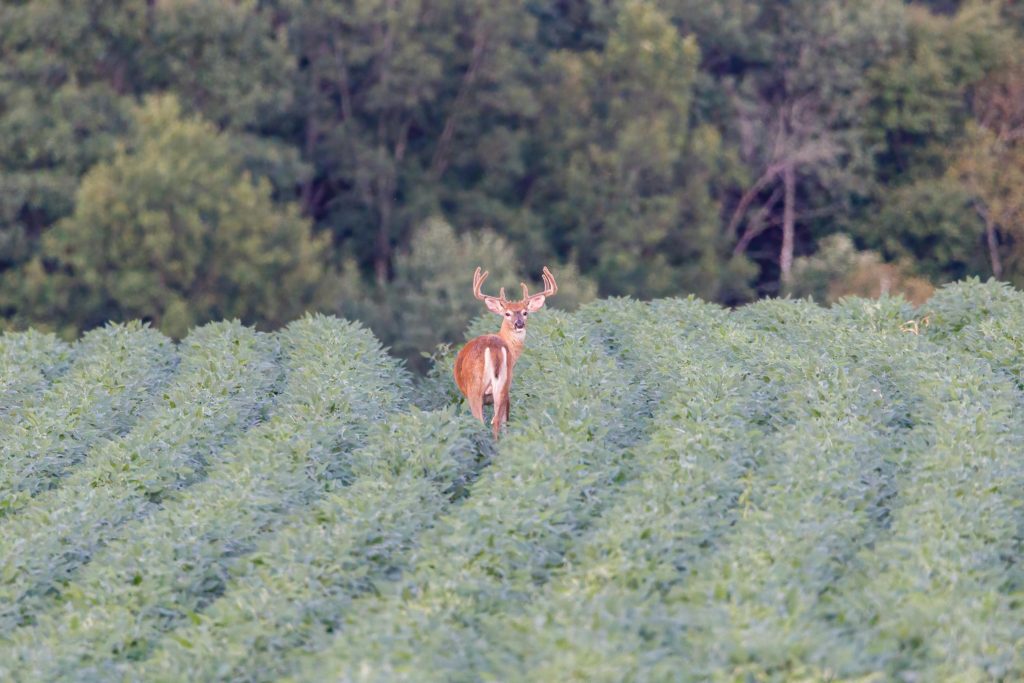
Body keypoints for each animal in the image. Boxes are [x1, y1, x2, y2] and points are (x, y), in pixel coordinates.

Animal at [452, 264, 557, 440]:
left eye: (525, 312)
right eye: (507, 313)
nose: (519, 324)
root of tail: (494, 348)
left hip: (475, 387)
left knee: (483, 421)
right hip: (504, 385)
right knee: (497, 421)